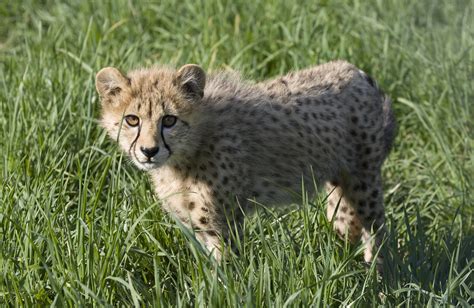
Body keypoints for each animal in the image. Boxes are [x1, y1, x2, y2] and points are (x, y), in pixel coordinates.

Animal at [96, 60, 396, 268]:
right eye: (132, 120)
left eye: (169, 120)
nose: (148, 151)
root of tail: (356, 71)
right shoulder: (199, 226)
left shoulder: (223, 225)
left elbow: (226, 274)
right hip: (339, 188)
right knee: (347, 225)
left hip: (364, 182)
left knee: (378, 230)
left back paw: (378, 280)